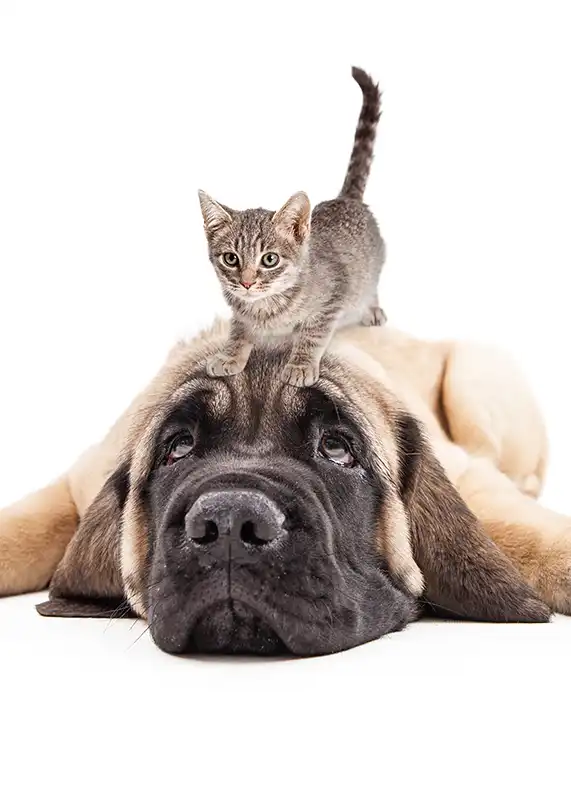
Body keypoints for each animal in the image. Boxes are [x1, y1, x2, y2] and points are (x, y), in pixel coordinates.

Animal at [1, 320, 571, 656]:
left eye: (337, 448)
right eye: (177, 448)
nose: (230, 522)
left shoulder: (476, 480)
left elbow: (533, 537)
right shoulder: (74, 482)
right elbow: (19, 531)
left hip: (476, 379)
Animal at [199, 67, 386, 386]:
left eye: (269, 259)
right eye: (231, 258)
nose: (246, 283)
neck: (266, 307)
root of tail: (345, 198)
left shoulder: (331, 300)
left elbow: (312, 335)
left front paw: (300, 364)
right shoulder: (240, 312)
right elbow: (238, 330)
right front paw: (230, 355)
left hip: (370, 270)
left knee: (370, 286)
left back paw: (371, 309)